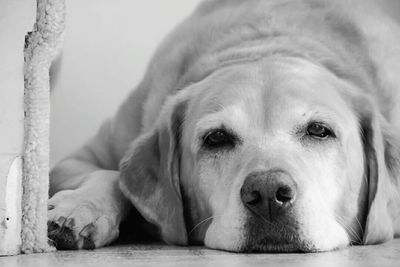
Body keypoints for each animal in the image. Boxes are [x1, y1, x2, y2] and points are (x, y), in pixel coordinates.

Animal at [48, 0, 400, 252]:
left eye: (319, 131)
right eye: (216, 138)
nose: (268, 193)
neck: (264, 42)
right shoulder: (80, 158)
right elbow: (110, 175)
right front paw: (79, 209)